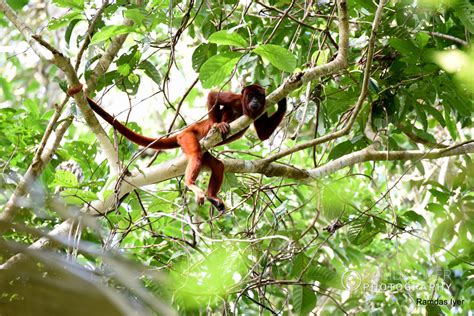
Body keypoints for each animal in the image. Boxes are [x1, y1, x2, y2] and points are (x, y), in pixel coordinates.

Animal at [68, 84, 286, 212]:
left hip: (204, 152)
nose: (255, 101)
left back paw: (212, 195)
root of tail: (184, 132)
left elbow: (263, 134)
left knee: (217, 165)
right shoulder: (235, 99)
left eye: (259, 96)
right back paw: (192, 183)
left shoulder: (261, 109)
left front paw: (284, 101)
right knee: (196, 154)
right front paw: (217, 124)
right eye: (250, 96)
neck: (244, 107)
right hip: (187, 138)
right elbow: (213, 96)